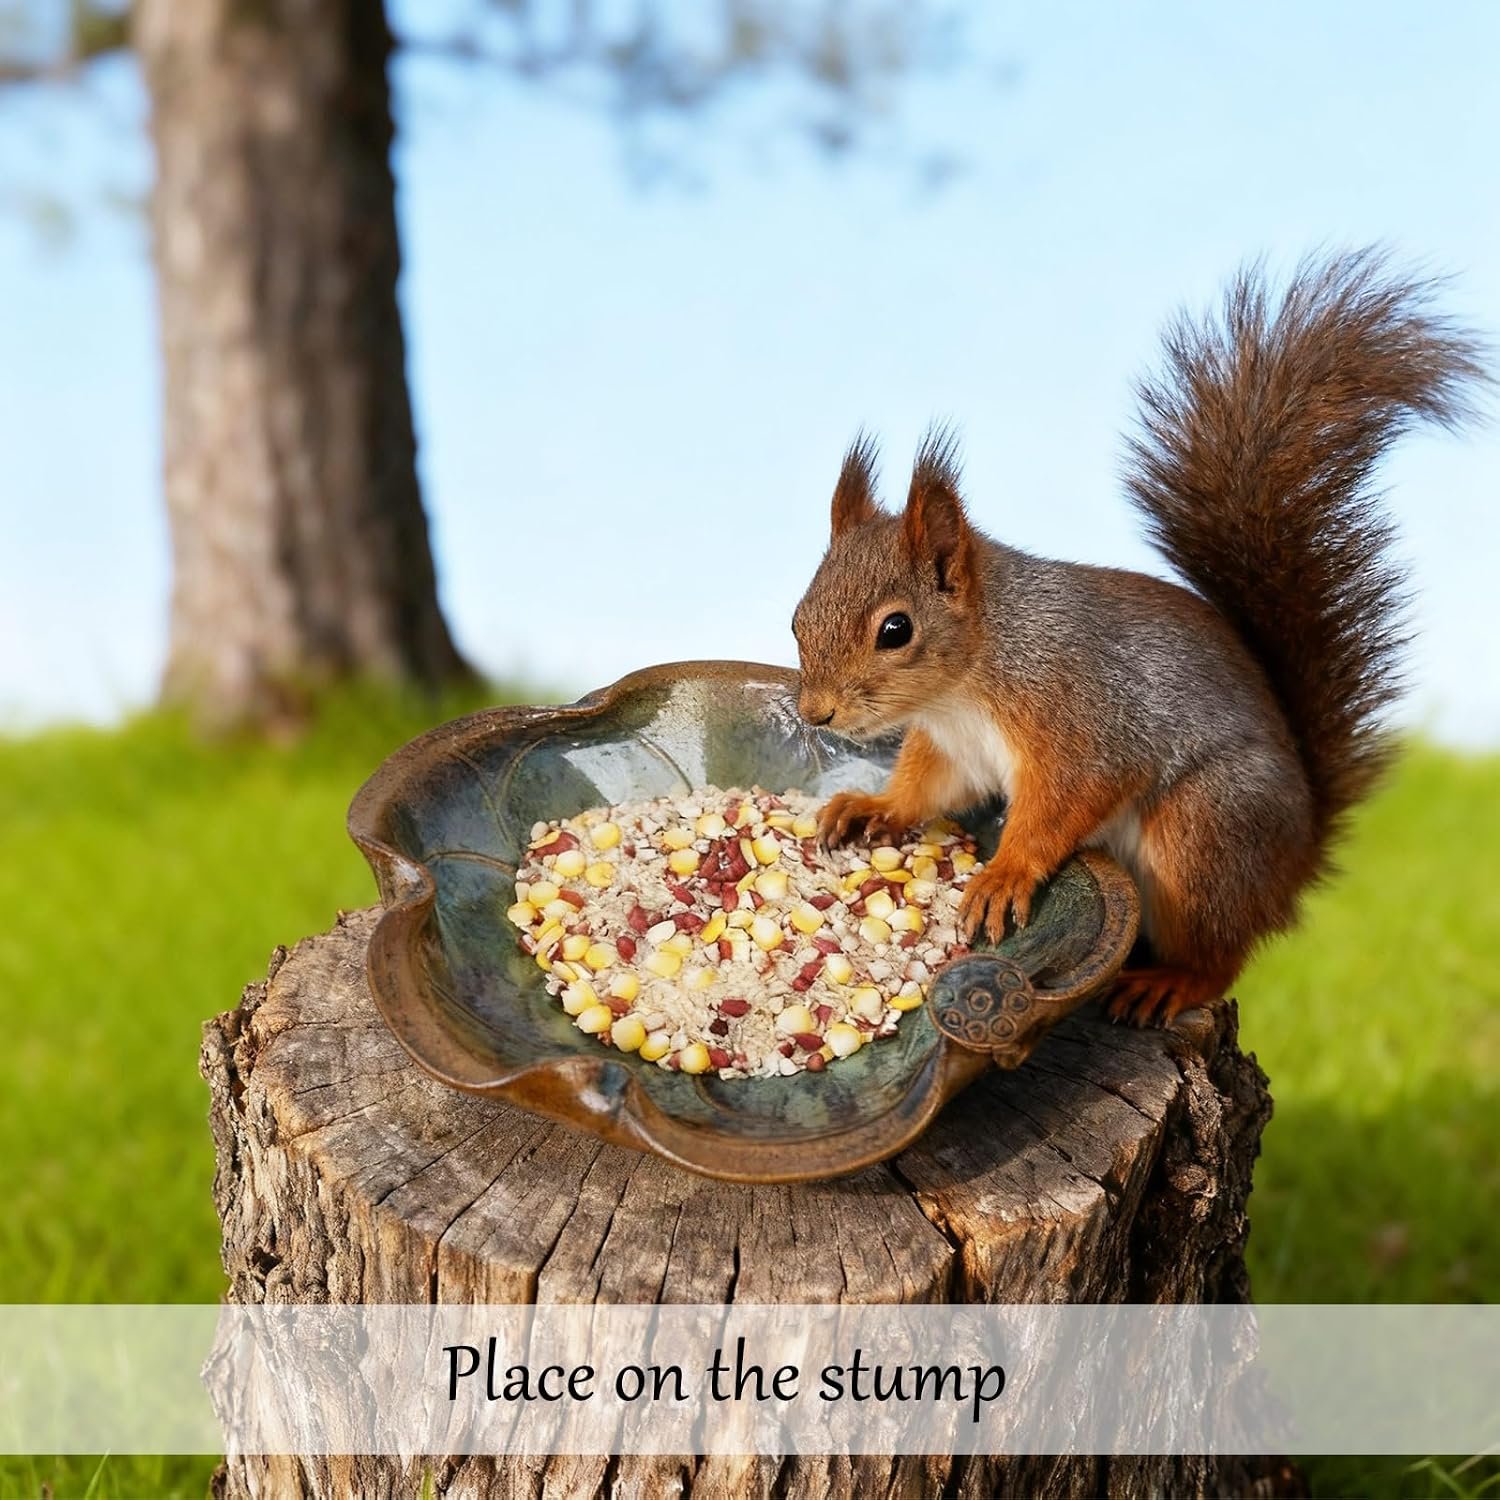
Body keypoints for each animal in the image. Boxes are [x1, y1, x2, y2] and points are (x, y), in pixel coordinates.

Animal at [791, 249, 1487, 1025]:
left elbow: (1061, 805)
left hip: (1206, 829)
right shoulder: (953, 749)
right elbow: (926, 789)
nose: (815, 713)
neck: (970, 679)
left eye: (895, 629)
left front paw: (1005, 872)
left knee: (1220, 955)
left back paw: (1172, 981)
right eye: (798, 615)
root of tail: (1298, 858)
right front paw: (873, 808)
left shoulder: (1082, 720)